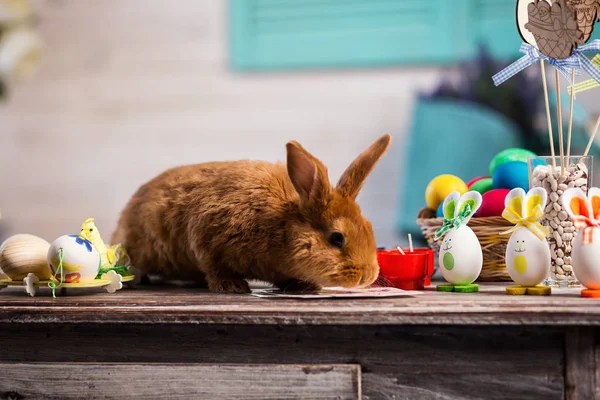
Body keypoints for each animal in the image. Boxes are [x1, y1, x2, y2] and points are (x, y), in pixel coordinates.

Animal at [112, 134, 392, 294]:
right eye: (337, 238)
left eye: (369, 228)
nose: (368, 275)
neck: (281, 226)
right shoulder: (204, 238)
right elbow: (214, 267)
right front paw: (232, 287)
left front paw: (304, 286)